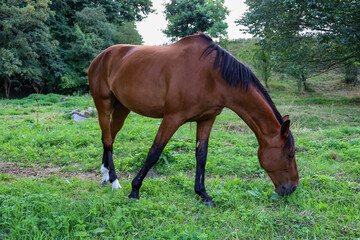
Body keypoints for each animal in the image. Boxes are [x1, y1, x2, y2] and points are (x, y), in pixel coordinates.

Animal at [87, 32, 298, 206]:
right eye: (289, 154)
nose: (293, 188)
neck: (212, 77)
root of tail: (100, 57)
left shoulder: (206, 119)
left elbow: (201, 156)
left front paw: (203, 194)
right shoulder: (172, 118)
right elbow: (154, 153)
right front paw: (135, 190)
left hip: (122, 108)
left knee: (109, 138)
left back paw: (105, 175)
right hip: (103, 105)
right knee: (108, 139)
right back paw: (114, 181)